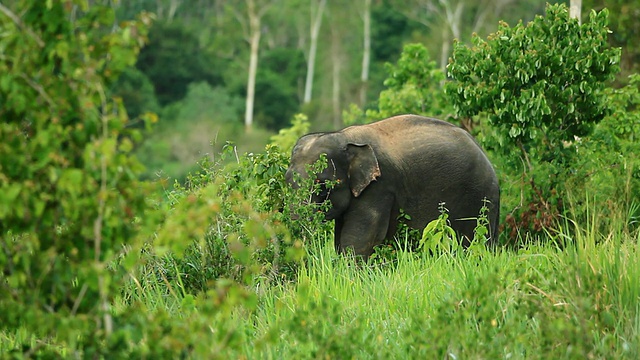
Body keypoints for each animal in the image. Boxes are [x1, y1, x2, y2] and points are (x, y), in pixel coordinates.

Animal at [284, 114, 500, 258]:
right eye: (286, 181)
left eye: (322, 185)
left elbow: (359, 240)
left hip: (478, 199)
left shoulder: (380, 187)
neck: (343, 137)